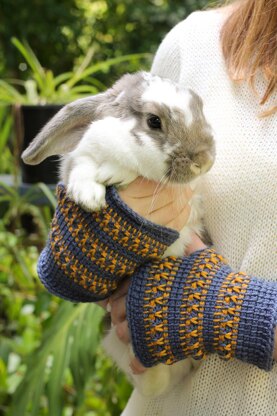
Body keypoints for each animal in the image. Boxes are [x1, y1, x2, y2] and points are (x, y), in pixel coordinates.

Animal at [22, 70, 216, 396]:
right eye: (154, 121)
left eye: (201, 108)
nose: (204, 160)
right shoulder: (78, 159)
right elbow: (81, 170)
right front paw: (89, 196)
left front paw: (114, 173)